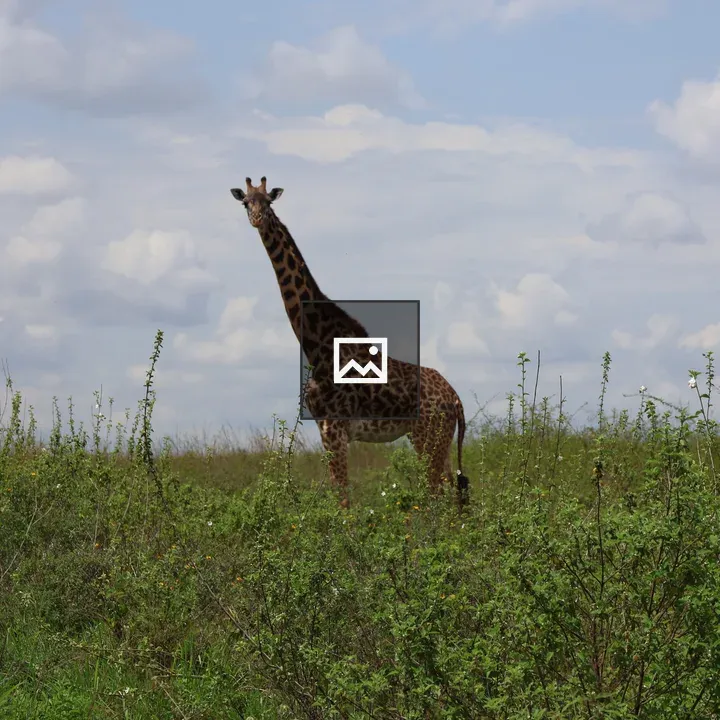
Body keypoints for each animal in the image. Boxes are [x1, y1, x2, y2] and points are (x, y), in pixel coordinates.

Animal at [230, 177, 470, 509]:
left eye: (268, 202)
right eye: (245, 202)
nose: (257, 219)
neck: (316, 344)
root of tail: (456, 399)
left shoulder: (335, 429)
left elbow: (343, 500)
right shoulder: (326, 430)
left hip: (429, 434)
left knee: (436, 493)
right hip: (435, 437)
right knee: (453, 493)